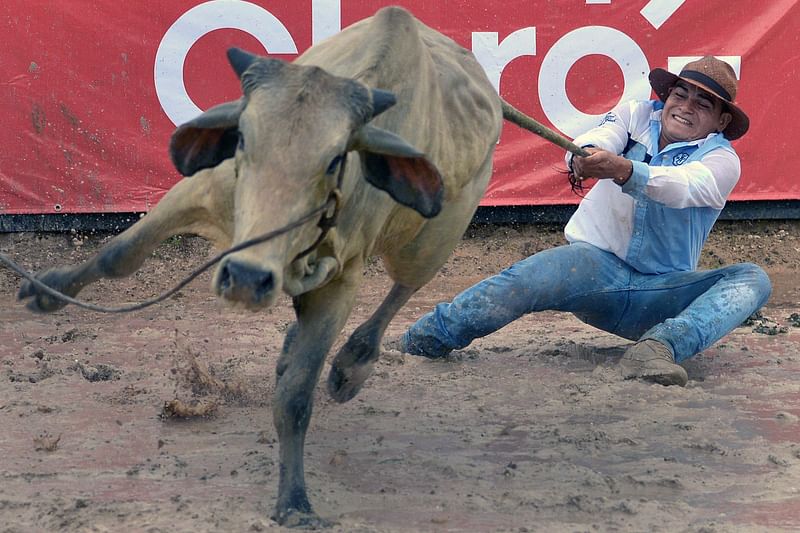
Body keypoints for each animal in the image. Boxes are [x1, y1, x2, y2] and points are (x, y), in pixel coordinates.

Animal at [17, 7, 556, 528]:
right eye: (241, 140)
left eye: (336, 158)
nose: (247, 279)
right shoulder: (200, 190)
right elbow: (120, 254)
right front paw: (47, 289)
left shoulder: (341, 283)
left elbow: (296, 397)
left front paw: (294, 499)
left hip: (433, 238)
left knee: (400, 291)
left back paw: (352, 364)